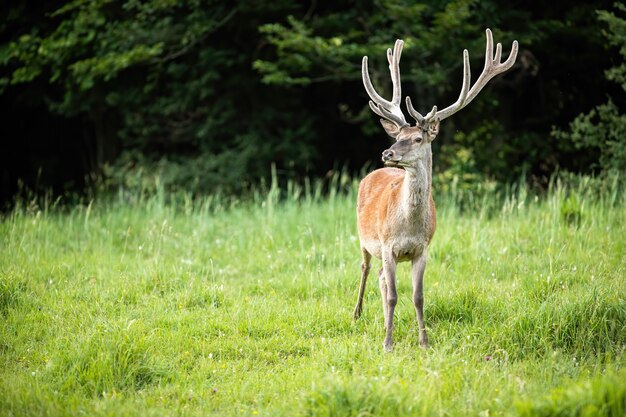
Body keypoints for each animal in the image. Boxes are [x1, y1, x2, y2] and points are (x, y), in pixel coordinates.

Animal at [352, 27, 516, 350]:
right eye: (398, 135)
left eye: (417, 138)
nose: (387, 152)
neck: (408, 224)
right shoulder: (388, 245)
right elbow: (394, 295)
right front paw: (388, 344)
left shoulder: (422, 249)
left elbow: (417, 296)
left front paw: (423, 342)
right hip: (365, 238)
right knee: (366, 270)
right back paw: (357, 314)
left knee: (380, 278)